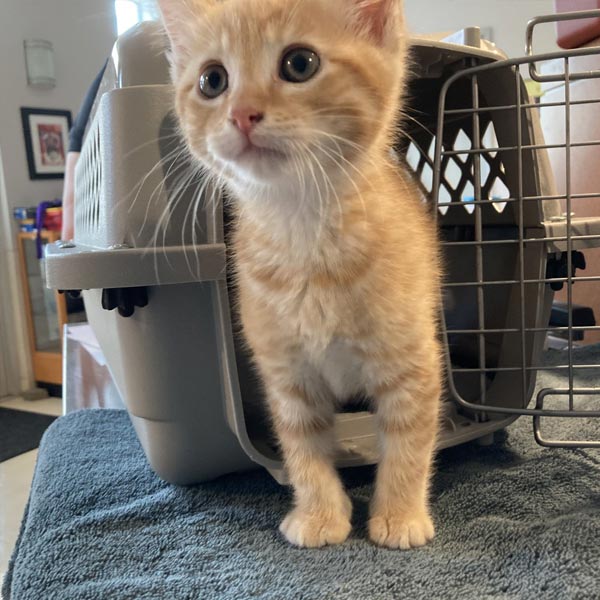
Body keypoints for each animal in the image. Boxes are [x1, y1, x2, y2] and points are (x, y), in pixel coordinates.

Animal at [157, 0, 442, 548]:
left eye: (300, 64)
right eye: (212, 80)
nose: (241, 113)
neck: (304, 233)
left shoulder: (412, 362)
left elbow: (408, 441)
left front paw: (399, 514)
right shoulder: (287, 374)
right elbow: (303, 447)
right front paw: (319, 514)